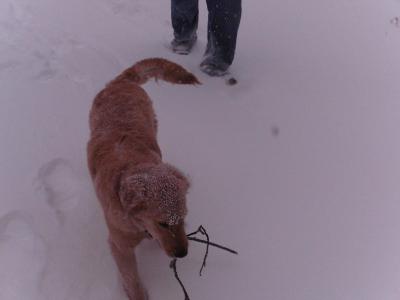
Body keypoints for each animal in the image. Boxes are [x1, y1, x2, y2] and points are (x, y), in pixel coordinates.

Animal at [87, 57, 200, 298]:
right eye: (162, 223)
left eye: (183, 218)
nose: (183, 254)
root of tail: (122, 80)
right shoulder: (120, 245)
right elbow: (131, 276)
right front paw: (137, 294)